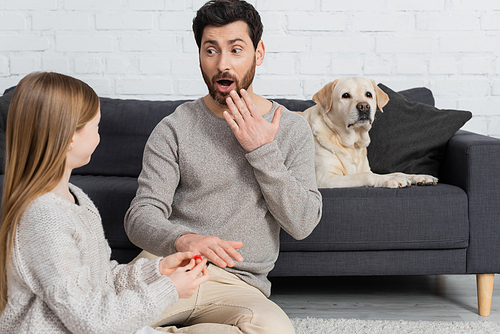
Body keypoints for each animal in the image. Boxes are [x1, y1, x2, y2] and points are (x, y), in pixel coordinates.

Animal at [300, 77, 438, 189]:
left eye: (368, 94)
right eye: (345, 95)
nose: (364, 106)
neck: (352, 144)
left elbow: (397, 172)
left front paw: (420, 177)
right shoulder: (323, 179)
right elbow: (365, 175)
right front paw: (392, 179)